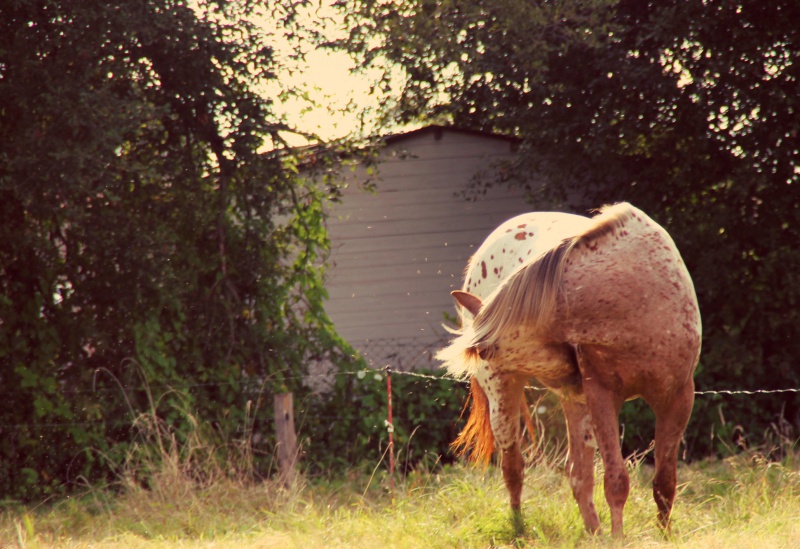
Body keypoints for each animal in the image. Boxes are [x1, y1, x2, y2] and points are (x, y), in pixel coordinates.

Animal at [438, 201, 700, 536]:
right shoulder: (602, 396)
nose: (479, 357)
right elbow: (617, 481)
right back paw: (520, 529)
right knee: (514, 468)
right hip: (506, 394)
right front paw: (618, 539)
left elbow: (664, 484)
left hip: (572, 400)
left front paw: (663, 537)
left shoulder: (677, 398)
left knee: (579, 475)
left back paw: (594, 534)